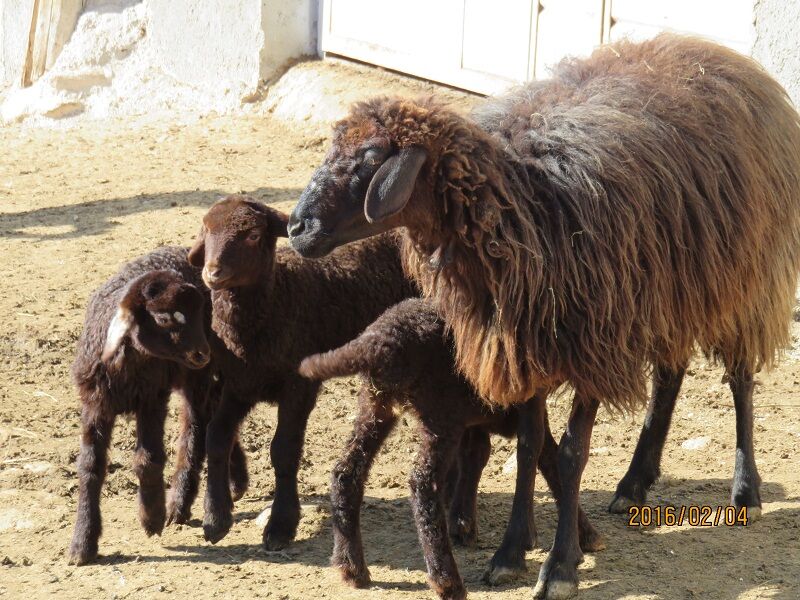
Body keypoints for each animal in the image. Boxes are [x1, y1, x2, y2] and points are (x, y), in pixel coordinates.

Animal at [185, 195, 416, 548]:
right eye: (206, 229)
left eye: (253, 235)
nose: (213, 272)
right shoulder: (240, 384)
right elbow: (217, 435)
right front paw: (215, 519)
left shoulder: (299, 386)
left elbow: (284, 449)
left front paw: (281, 525)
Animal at [302, 300, 608, 600]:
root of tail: (376, 341)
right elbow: (548, 458)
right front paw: (585, 534)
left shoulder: (481, 422)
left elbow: (481, 455)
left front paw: (465, 524)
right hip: (439, 416)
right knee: (422, 484)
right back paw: (447, 581)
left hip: (376, 405)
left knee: (346, 471)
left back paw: (351, 567)